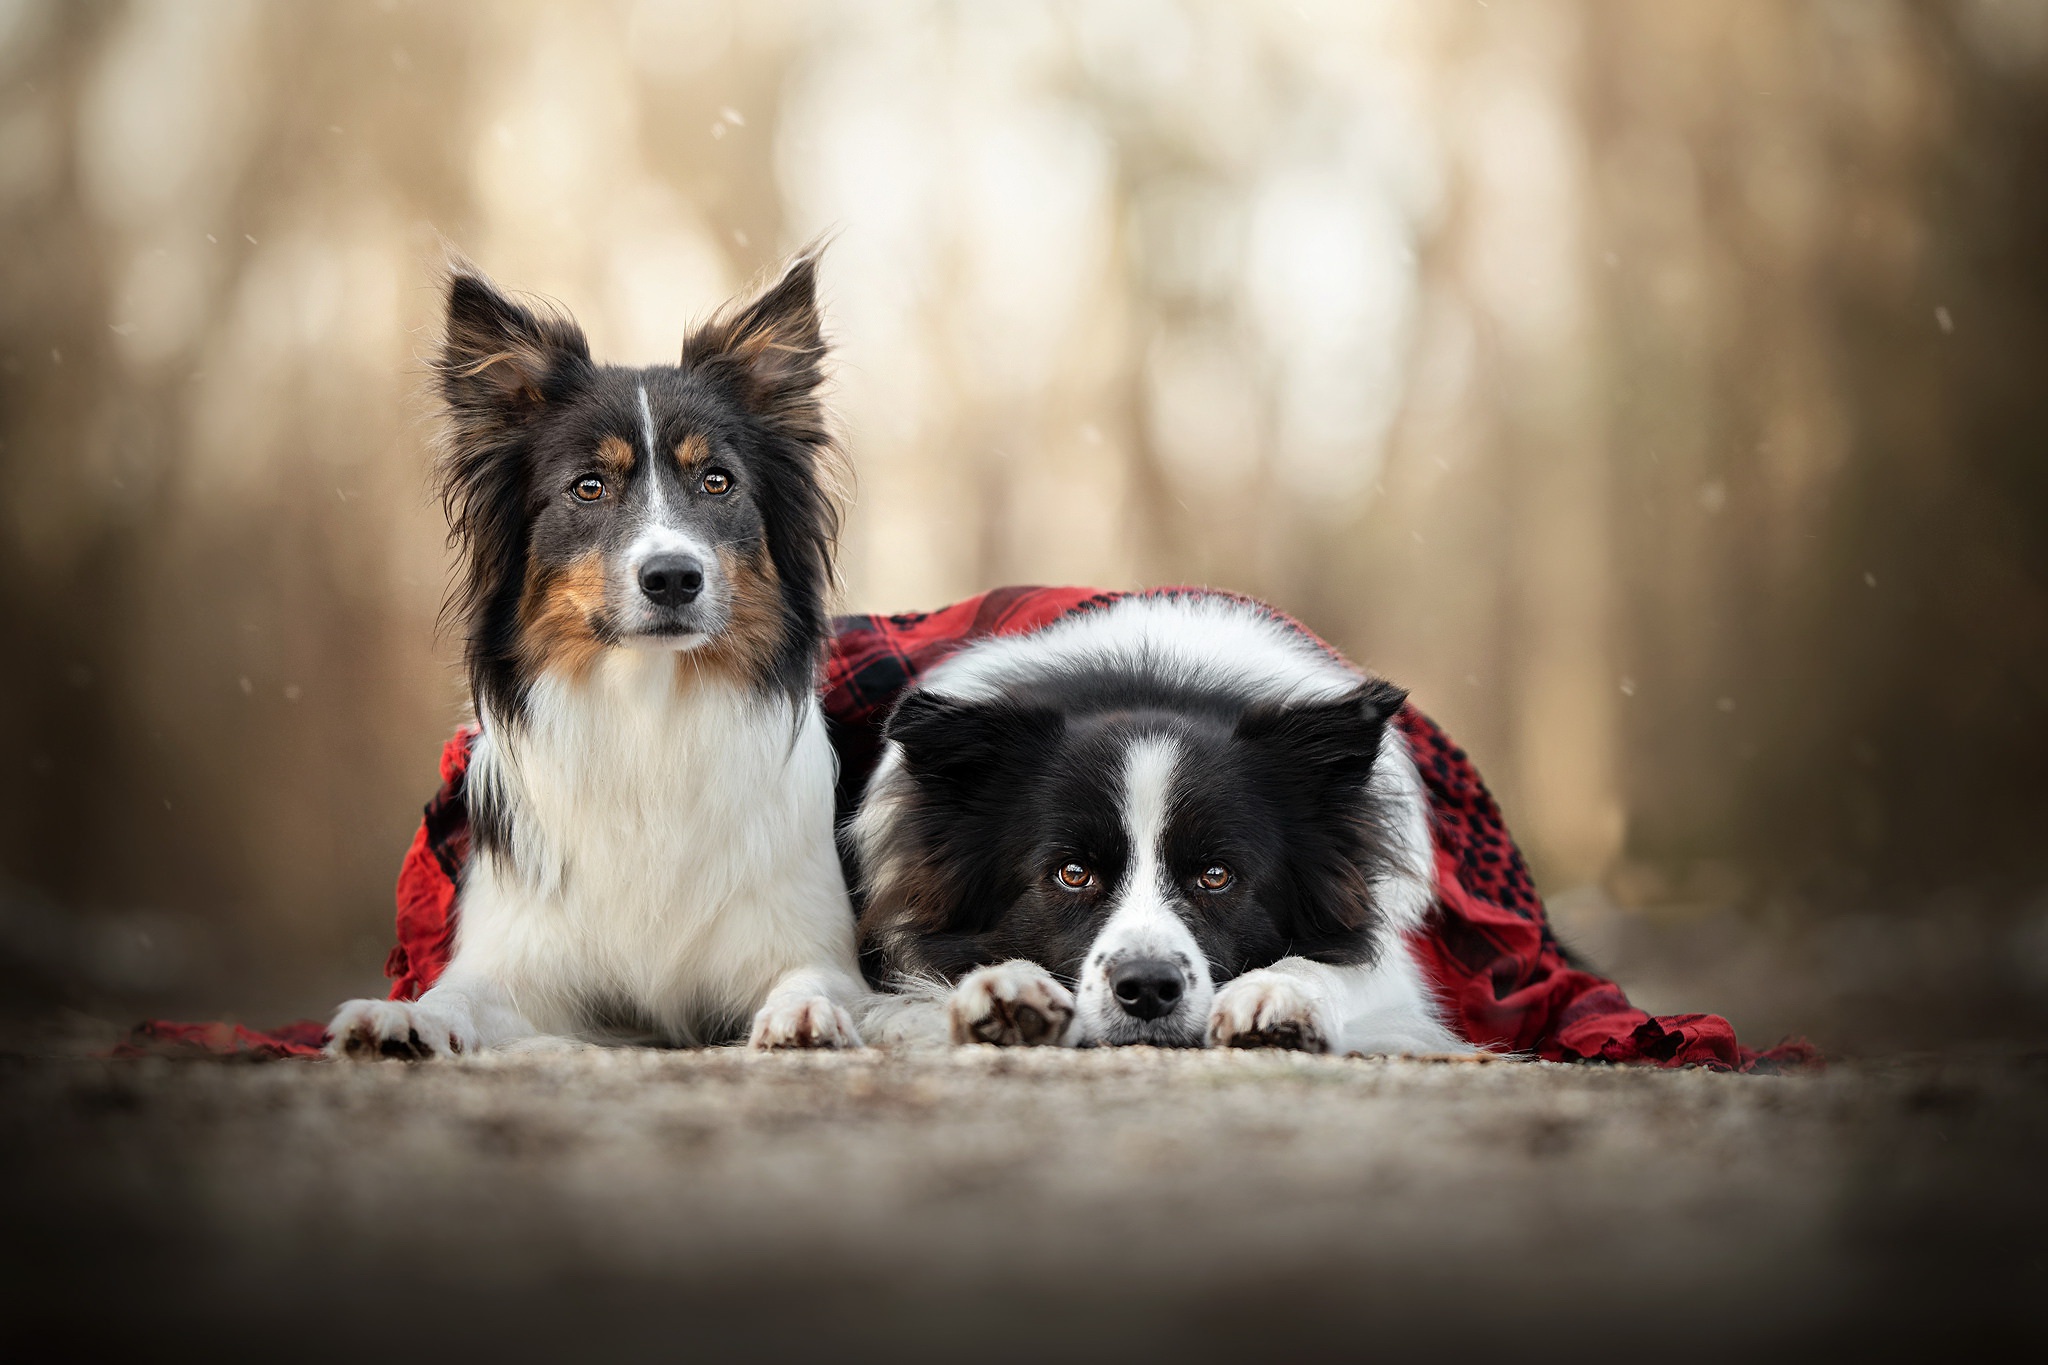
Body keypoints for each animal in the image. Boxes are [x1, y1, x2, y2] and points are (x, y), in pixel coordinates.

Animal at [325, 258, 864, 1064]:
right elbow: (453, 994)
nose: (672, 577)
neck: (648, 709)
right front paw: (401, 1019)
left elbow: (813, 977)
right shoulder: (519, 962)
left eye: (717, 481)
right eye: (589, 487)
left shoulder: (812, 943)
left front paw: (804, 1013)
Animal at [847, 589, 1474, 1055]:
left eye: (1217, 875)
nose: (1148, 989)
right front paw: (1010, 989)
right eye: (1072, 873)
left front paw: (1279, 995)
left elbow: (1338, 969)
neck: (1149, 680)